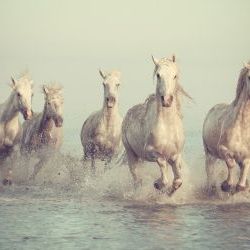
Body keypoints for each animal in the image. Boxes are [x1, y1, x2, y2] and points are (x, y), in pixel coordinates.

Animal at [122, 55, 190, 194]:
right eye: (158, 75)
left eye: (175, 75)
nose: (167, 100)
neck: (168, 127)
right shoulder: (152, 153)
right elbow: (163, 170)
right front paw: (158, 184)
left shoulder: (175, 155)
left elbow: (178, 180)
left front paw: (170, 191)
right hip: (131, 154)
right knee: (137, 179)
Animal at [204, 63, 250, 193]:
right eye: (249, 77)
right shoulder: (223, 149)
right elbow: (230, 164)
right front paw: (227, 185)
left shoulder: (246, 155)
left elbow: (245, 166)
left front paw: (241, 186)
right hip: (209, 152)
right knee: (209, 169)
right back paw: (211, 188)